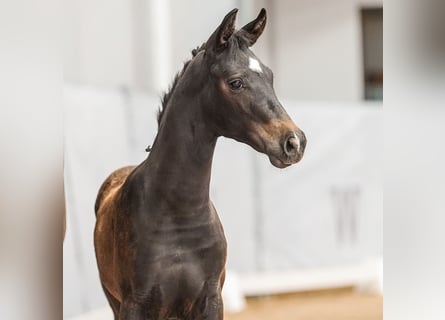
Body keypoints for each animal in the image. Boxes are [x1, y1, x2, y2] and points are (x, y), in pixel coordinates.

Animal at [93, 8, 306, 318]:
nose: (294, 142)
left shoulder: (210, 300)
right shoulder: (136, 305)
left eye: (270, 76)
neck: (179, 213)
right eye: (236, 82)